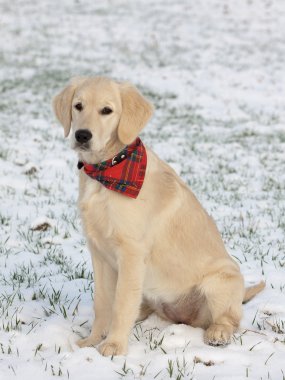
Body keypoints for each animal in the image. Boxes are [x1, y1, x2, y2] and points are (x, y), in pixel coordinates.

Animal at [52, 77, 262, 356]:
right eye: (78, 106)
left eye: (107, 110)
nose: (82, 135)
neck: (108, 172)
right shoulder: (99, 252)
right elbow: (103, 302)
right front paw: (92, 341)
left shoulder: (131, 252)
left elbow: (121, 303)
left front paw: (114, 346)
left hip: (221, 280)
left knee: (230, 319)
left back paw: (218, 332)